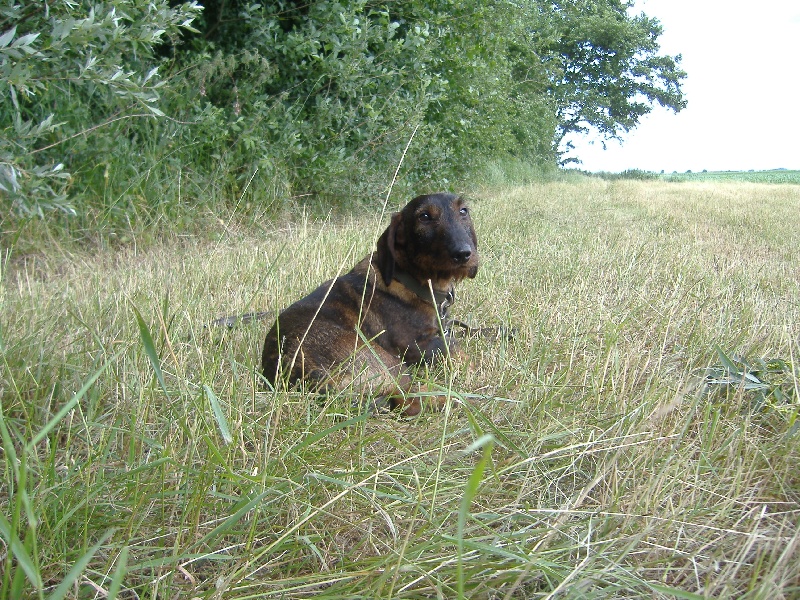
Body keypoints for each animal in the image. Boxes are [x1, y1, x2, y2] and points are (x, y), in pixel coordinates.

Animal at [260, 193, 478, 418]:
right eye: (424, 216)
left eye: (464, 211)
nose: (463, 253)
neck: (409, 280)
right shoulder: (416, 345)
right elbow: (457, 349)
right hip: (387, 362)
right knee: (407, 400)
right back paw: (455, 400)